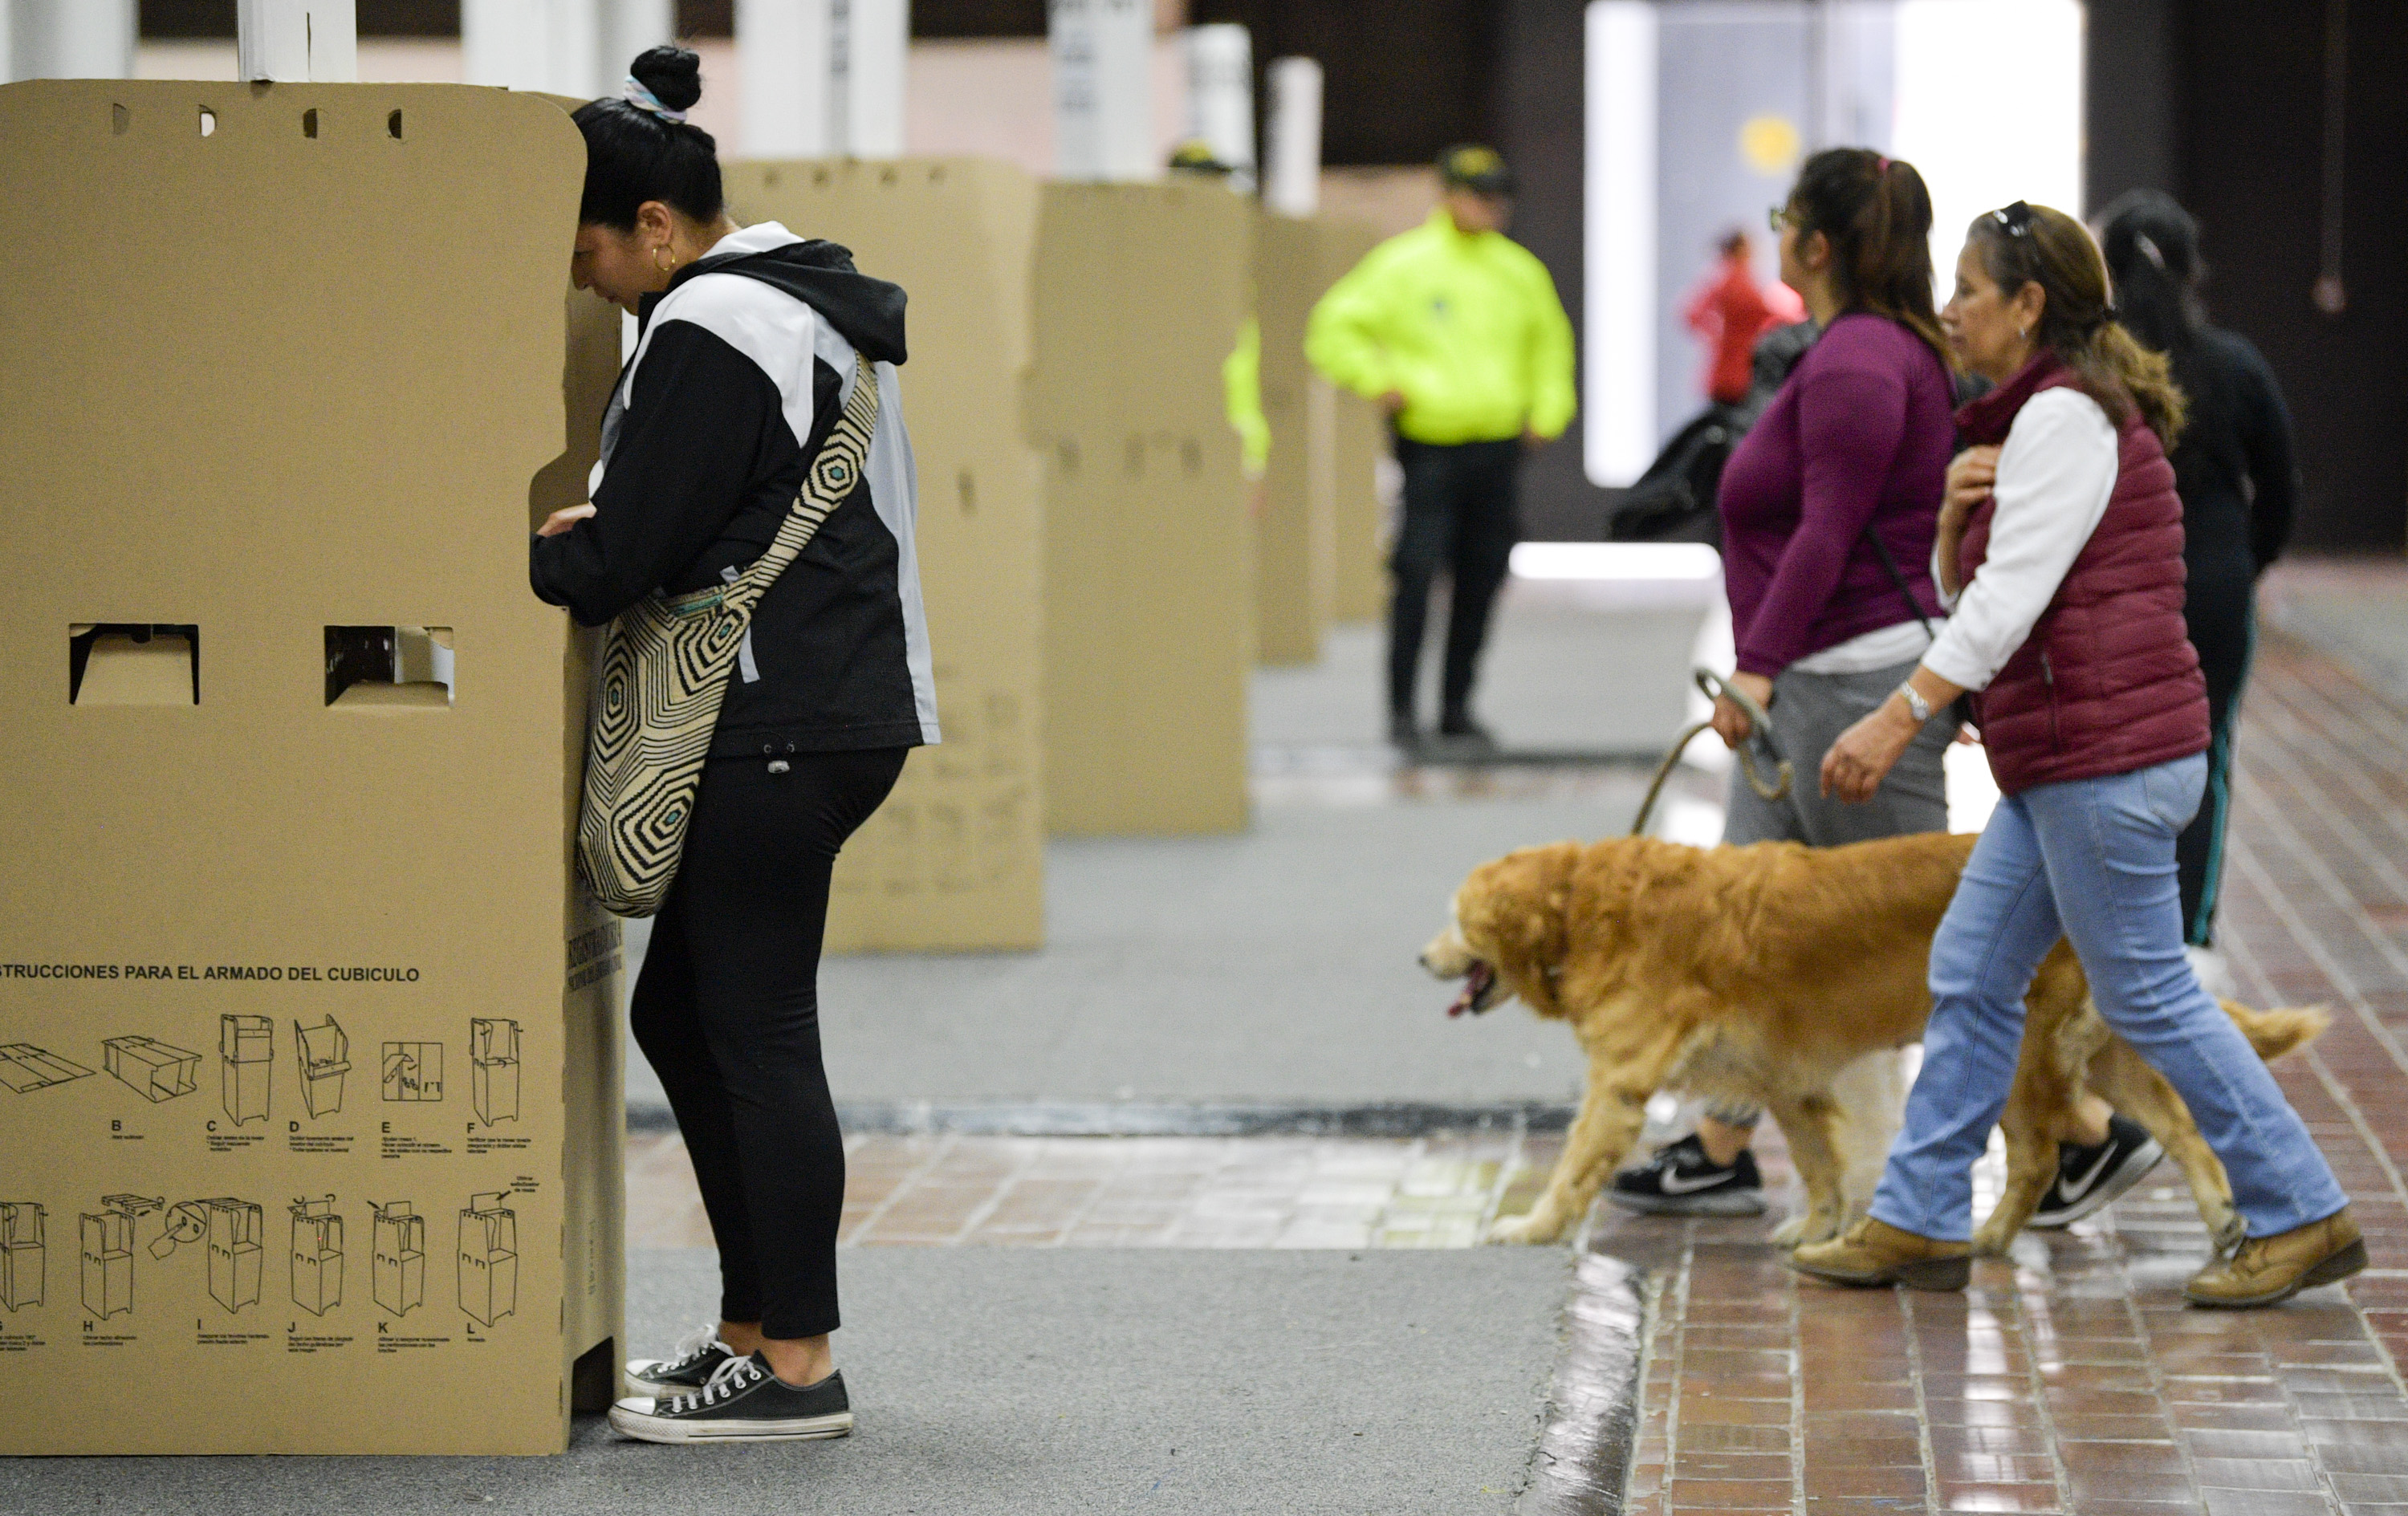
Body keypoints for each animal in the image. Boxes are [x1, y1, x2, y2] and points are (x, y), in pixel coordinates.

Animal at [1416, 837, 2321, 1251]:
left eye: (1456, 920)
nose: (1421, 959)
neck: (1586, 904)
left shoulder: (1619, 1081)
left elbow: (1573, 1166)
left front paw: (1531, 1227)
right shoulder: (1789, 1084)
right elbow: (1819, 1165)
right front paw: (1816, 1228)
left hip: (2021, 1051)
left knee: (2038, 1156)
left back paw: (1988, 1239)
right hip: (2108, 1050)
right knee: (2187, 1129)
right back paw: (2225, 1219)